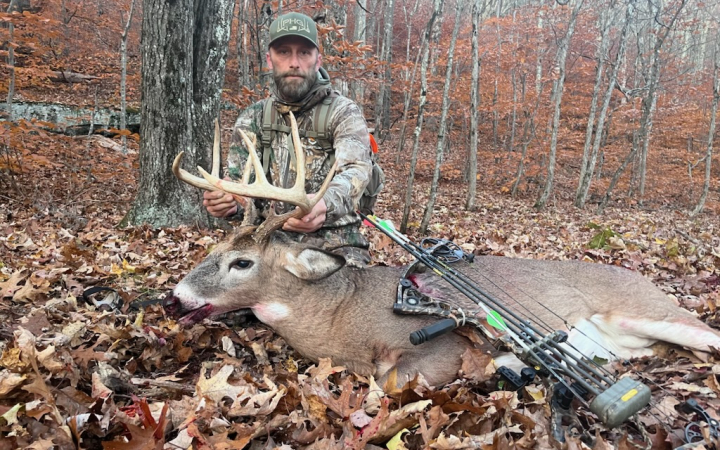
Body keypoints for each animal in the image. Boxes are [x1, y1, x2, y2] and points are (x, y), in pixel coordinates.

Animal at [164, 115, 720, 393]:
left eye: (242, 263)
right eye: (214, 249)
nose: (176, 295)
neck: (339, 316)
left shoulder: (439, 344)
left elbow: (390, 379)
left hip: (653, 308)